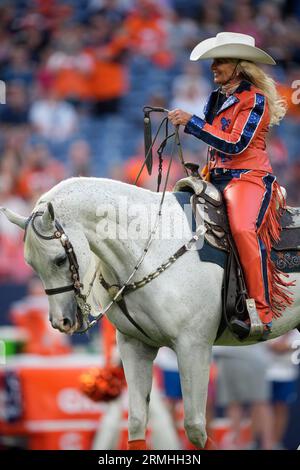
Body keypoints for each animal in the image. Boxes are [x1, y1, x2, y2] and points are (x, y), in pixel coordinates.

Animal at [1, 177, 298, 448]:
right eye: (30, 263)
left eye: (60, 259)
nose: (60, 321)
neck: (151, 247)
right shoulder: (135, 346)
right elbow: (135, 422)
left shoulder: (194, 347)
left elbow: (194, 428)